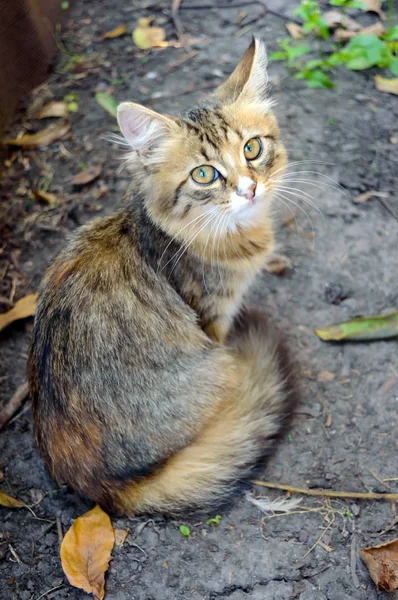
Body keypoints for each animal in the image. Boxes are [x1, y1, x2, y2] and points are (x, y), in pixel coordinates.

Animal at [28, 38, 296, 516]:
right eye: (204, 175)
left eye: (252, 149)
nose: (249, 189)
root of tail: (102, 492)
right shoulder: (213, 315)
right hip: (218, 367)